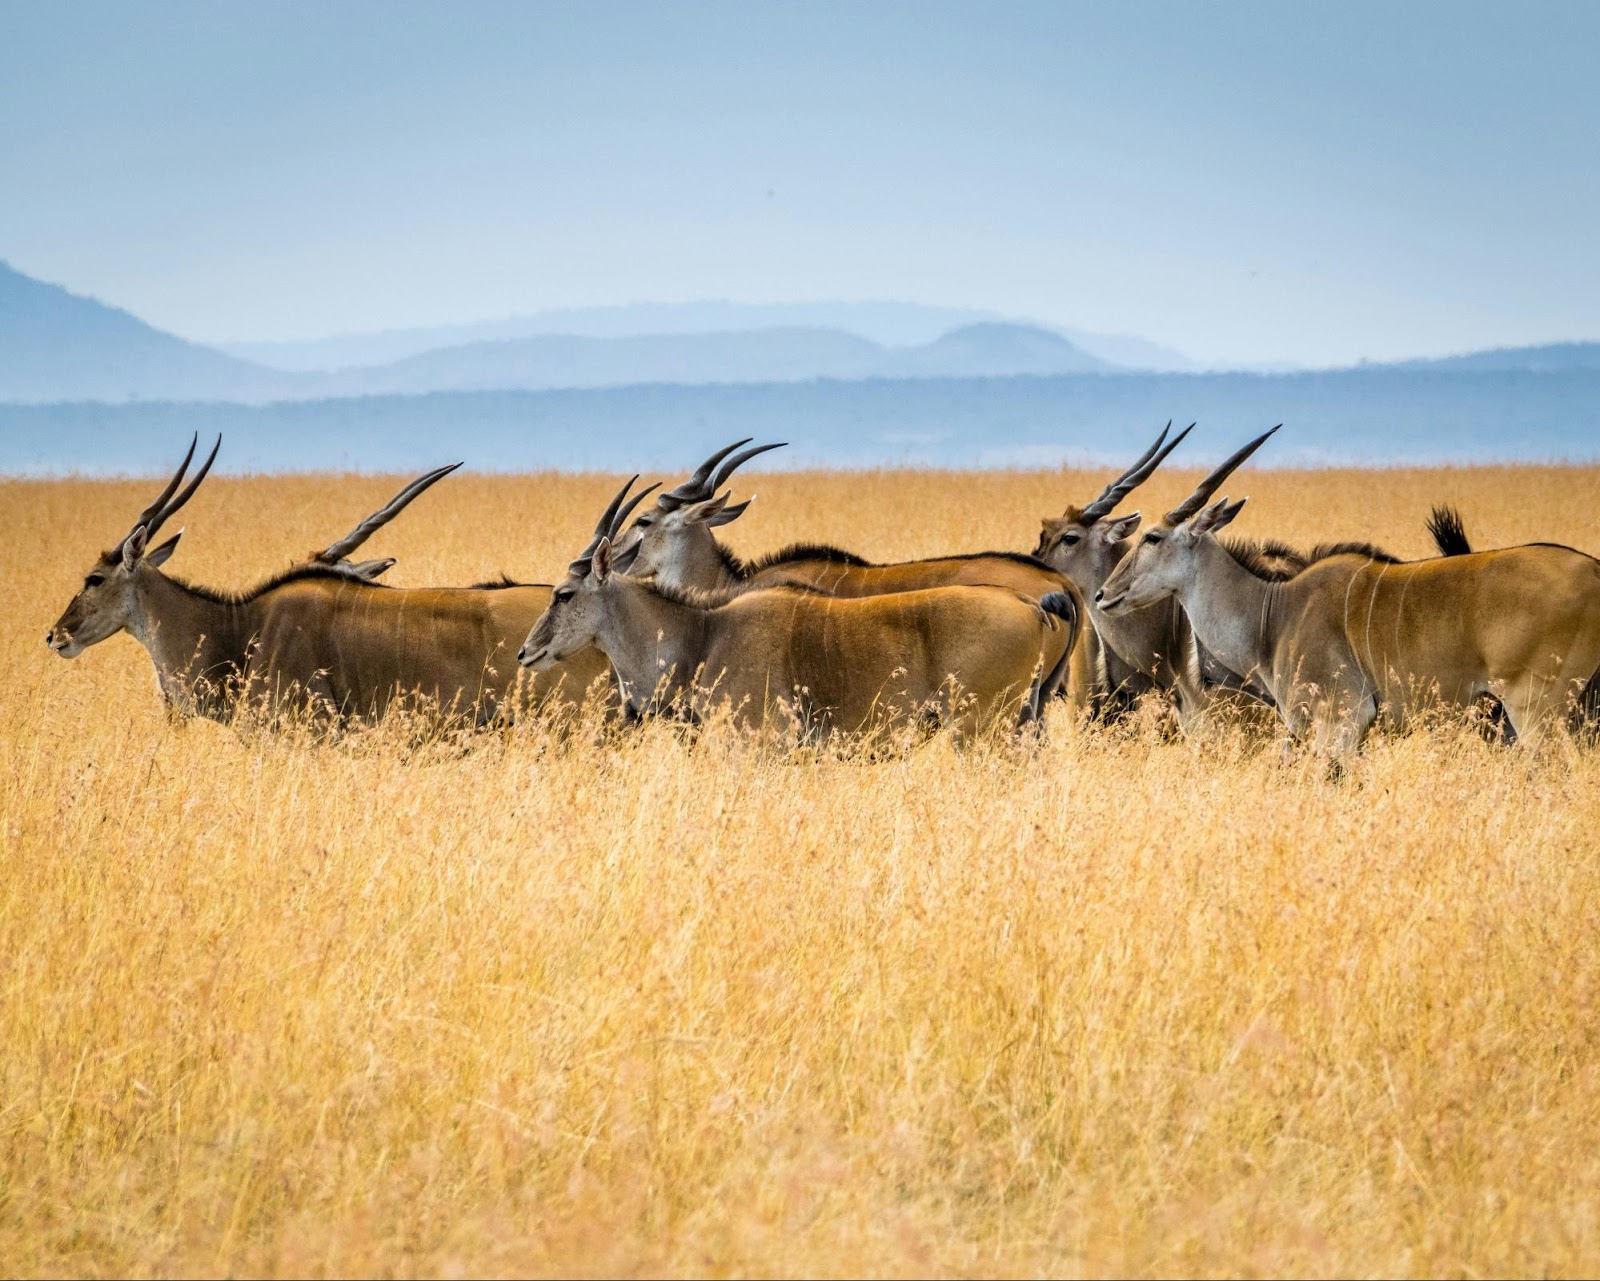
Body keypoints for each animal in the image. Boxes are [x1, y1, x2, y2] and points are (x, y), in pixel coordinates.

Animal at [1100, 428, 1600, 761]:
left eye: (1153, 538)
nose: (1105, 594)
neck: (1273, 613)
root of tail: (1594, 570)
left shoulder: (1340, 719)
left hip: (1536, 710)